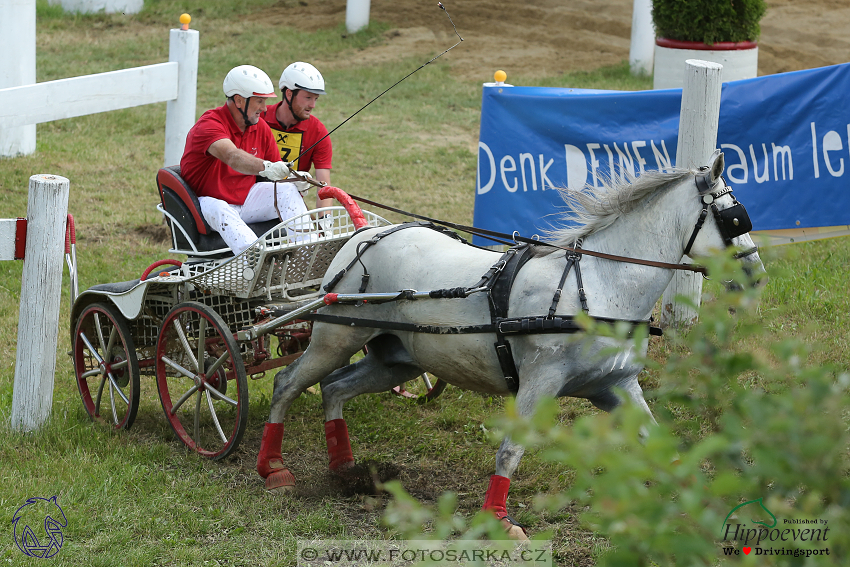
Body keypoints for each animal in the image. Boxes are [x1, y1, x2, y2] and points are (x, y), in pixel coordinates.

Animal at [255, 151, 764, 536]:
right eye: (732, 217)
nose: (756, 276)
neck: (600, 286)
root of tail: (366, 231)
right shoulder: (540, 383)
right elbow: (511, 450)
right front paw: (497, 520)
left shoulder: (615, 386)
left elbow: (658, 441)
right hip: (334, 339)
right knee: (288, 383)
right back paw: (272, 468)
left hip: (396, 360)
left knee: (335, 388)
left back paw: (346, 470)